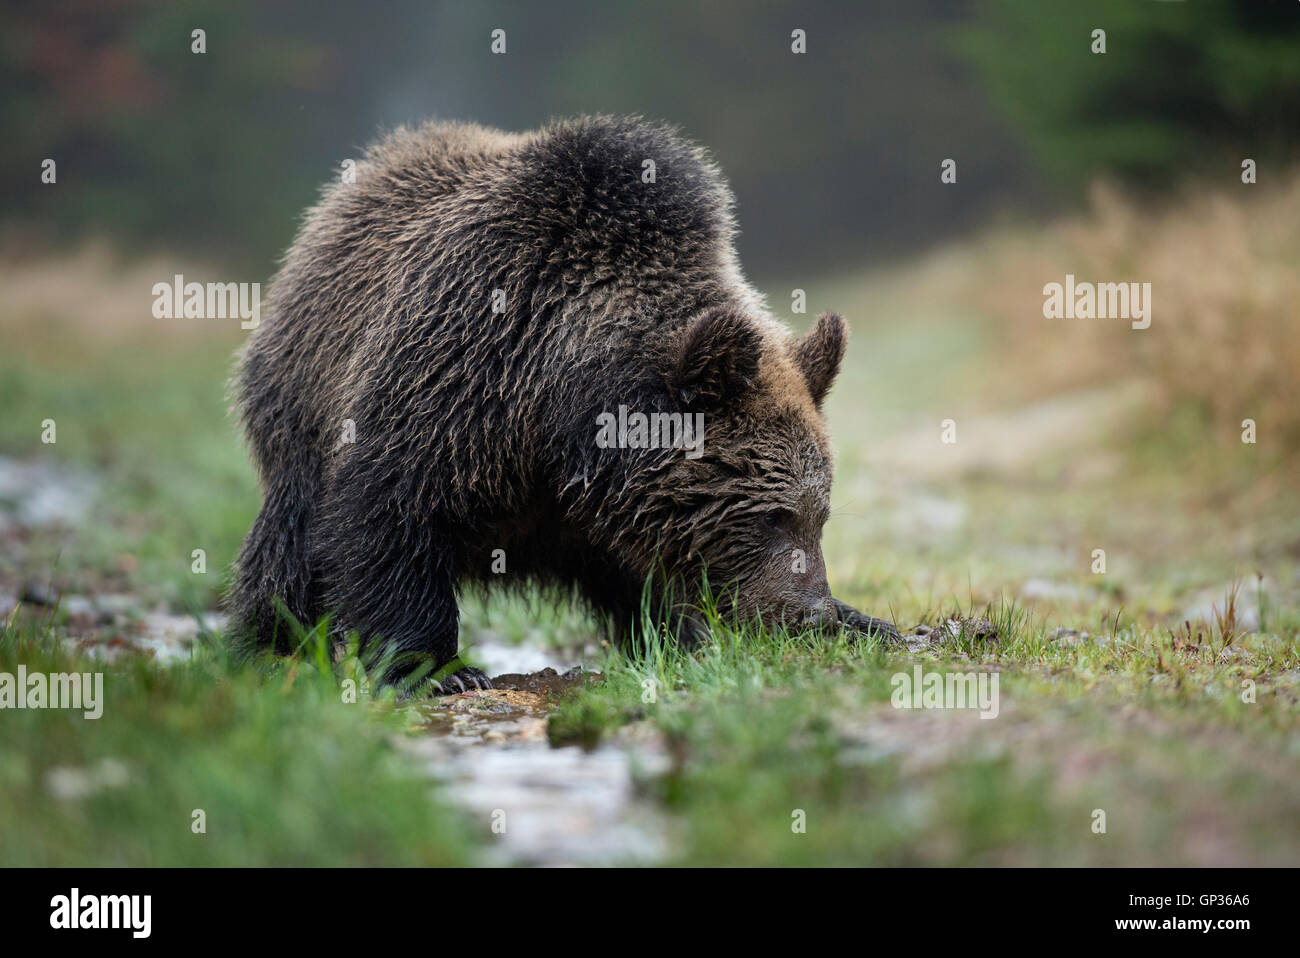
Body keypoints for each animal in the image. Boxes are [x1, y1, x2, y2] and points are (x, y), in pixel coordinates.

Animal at [228, 115, 899, 691]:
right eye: (771, 516)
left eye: (820, 514)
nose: (811, 614)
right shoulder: (455, 375)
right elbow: (389, 513)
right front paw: (437, 670)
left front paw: (866, 620)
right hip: (300, 406)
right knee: (289, 547)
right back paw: (268, 651)